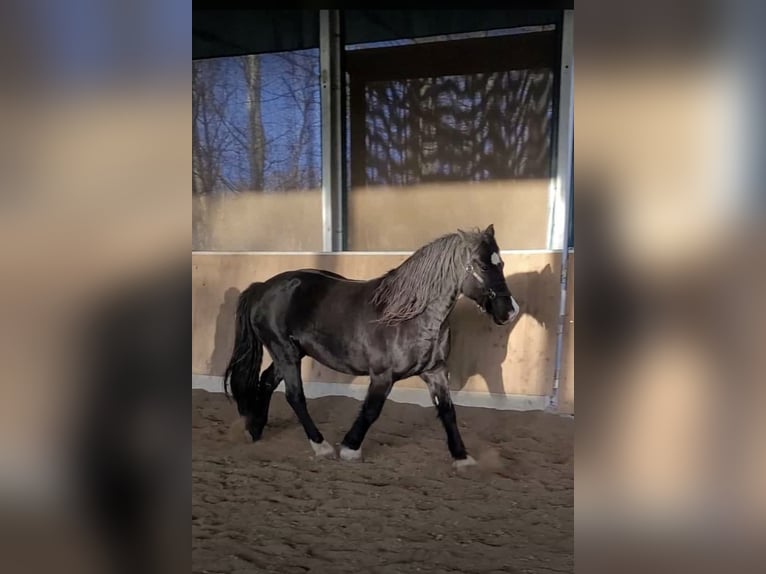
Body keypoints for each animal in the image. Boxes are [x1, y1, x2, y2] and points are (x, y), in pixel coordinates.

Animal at [223, 224, 520, 468]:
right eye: (482, 266)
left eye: (501, 263)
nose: (509, 311)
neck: (408, 316)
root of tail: (263, 287)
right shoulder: (382, 375)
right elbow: (371, 410)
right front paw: (350, 448)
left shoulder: (435, 372)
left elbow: (448, 412)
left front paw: (462, 457)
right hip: (285, 352)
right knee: (295, 396)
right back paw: (321, 446)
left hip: (291, 353)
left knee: (265, 382)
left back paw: (255, 430)